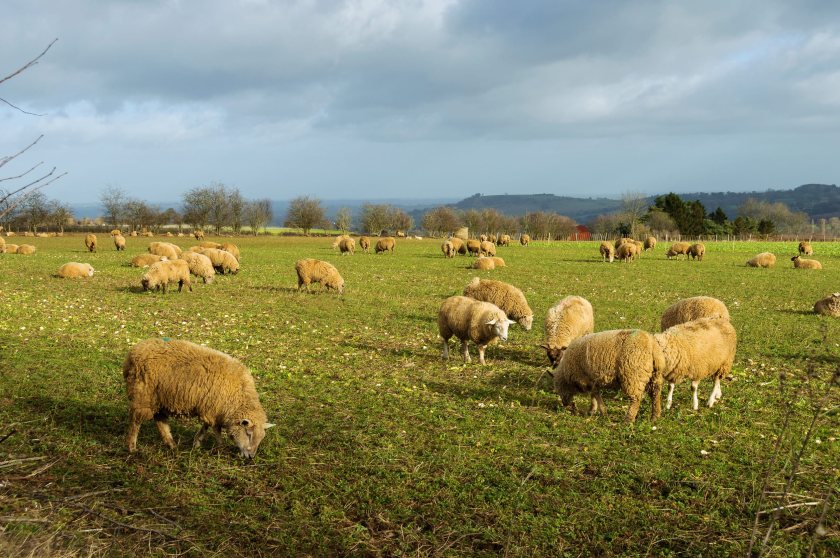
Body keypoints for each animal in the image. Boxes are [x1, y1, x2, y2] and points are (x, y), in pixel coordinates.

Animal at [123, 338, 274, 457]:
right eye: (248, 433)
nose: (251, 456)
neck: (238, 396)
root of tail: (133, 353)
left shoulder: (211, 408)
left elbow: (206, 426)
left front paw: (197, 443)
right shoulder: (214, 408)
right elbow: (216, 429)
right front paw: (220, 446)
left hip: (160, 399)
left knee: (160, 421)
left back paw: (172, 445)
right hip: (143, 396)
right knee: (135, 421)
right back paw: (131, 447)